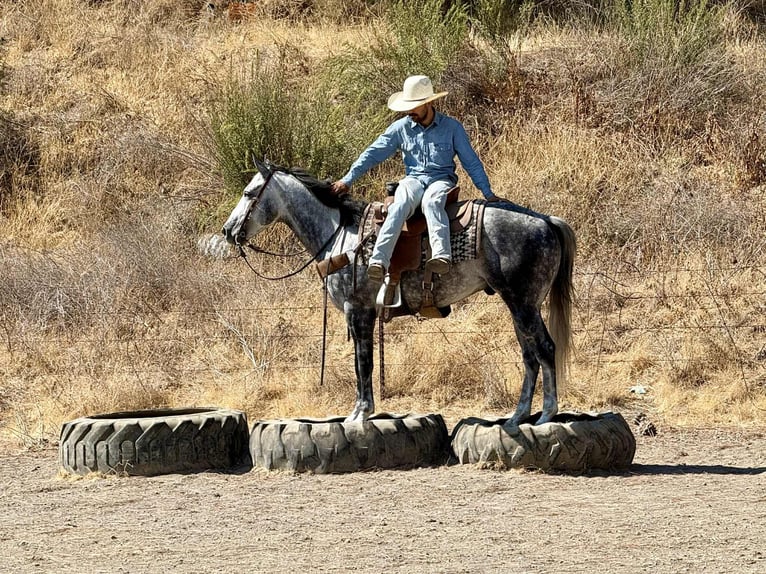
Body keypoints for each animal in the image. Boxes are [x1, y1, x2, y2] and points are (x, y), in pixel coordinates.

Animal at [221, 160, 576, 426]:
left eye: (249, 193)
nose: (227, 231)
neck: (341, 236)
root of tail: (546, 220)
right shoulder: (361, 313)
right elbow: (362, 362)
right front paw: (361, 410)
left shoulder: (358, 310)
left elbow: (362, 362)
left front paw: (360, 413)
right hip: (519, 304)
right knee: (529, 354)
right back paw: (518, 416)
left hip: (523, 303)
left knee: (545, 348)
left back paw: (546, 414)